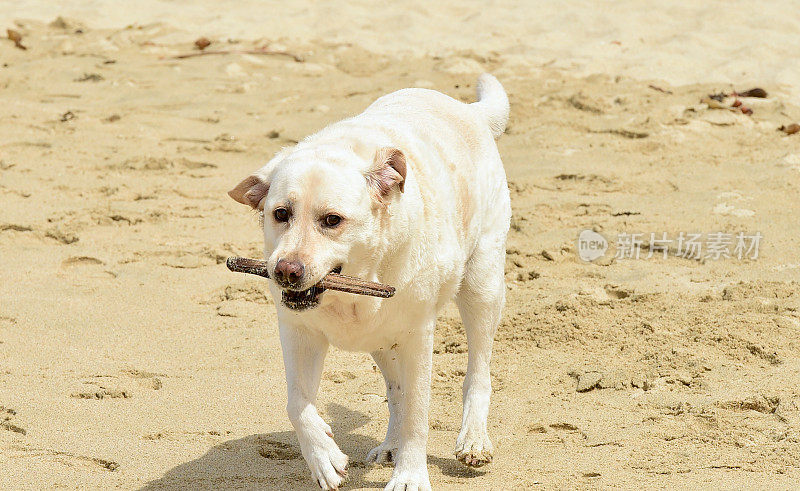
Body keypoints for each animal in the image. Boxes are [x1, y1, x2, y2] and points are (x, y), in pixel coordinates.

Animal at [228, 74, 510, 491]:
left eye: (332, 220)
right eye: (280, 214)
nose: (285, 272)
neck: (356, 290)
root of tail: (470, 112)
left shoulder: (417, 337)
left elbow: (417, 416)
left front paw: (410, 476)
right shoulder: (298, 331)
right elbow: (297, 403)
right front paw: (324, 457)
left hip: (482, 285)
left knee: (477, 372)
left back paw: (473, 440)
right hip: (380, 339)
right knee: (395, 391)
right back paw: (390, 446)